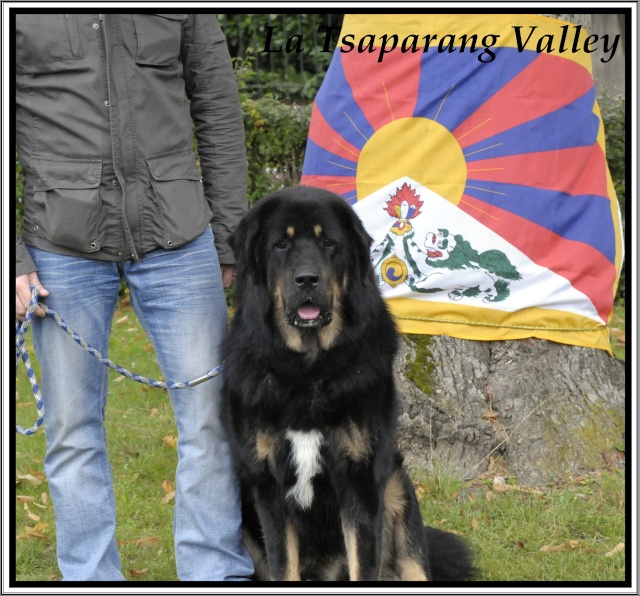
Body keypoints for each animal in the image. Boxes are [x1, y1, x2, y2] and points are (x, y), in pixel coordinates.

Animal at [220, 186, 476, 584]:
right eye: (281, 244)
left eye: (328, 243)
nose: (307, 279)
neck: (308, 370)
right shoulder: (269, 490)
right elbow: (283, 566)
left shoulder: (361, 482)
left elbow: (363, 563)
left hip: (397, 488)